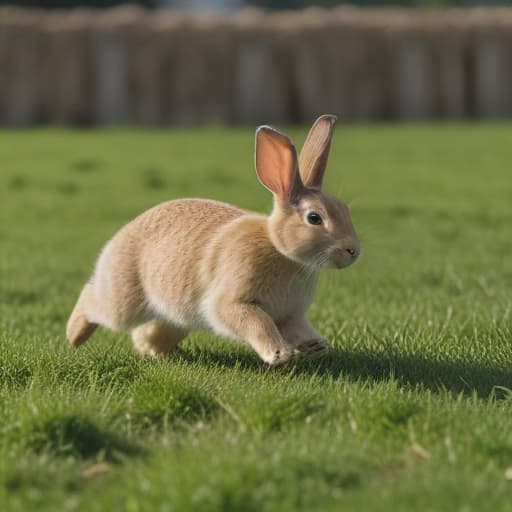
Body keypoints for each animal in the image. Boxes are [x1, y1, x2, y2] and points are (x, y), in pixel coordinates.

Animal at [67, 115, 360, 364]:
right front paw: (278, 354)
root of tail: (118, 239)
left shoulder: (290, 314)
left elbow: (298, 328)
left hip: (175, 317)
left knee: (150, 335)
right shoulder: (232, 302)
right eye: (314, 218)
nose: (353, 251)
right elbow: (256, 323)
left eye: (345, 209)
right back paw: (74, 336)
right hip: (124, 302)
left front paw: (316, 345)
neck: (281, 251)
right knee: (92, 299)